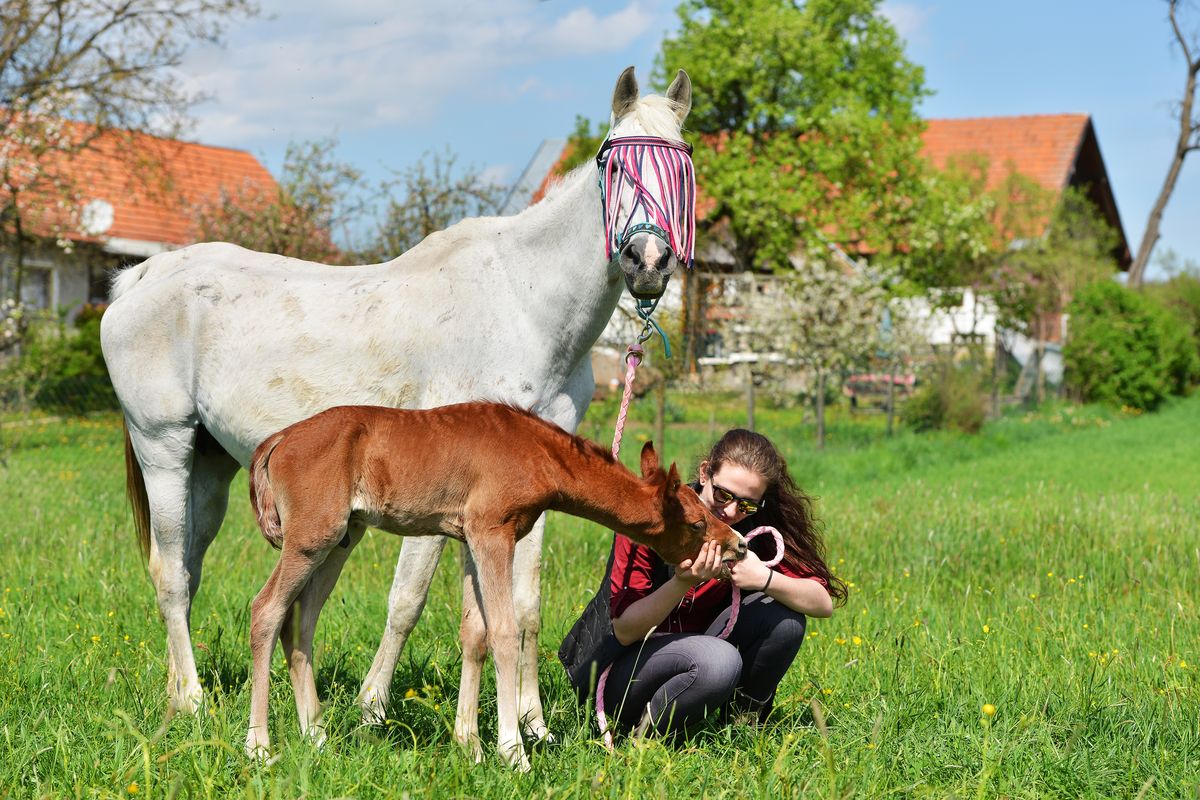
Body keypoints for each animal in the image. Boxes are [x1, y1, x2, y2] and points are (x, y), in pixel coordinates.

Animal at [99, 65, 695, 744]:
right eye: (615, 164)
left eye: (685, 161)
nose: (648, 262)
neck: (521, 304)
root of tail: (139, 279)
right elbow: (407, 600)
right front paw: (374, 708)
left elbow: (524, 606)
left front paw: (533, 726)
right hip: (164, 447)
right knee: (171, 574)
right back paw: (196, 701)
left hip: (211, 465)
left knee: (190, 568)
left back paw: (182, 694)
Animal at [244, 402, 746, 769]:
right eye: (698, 522)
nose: (738, 545)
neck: (536, 452)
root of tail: (278, 440)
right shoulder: (492, 532)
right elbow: (505, 632)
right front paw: (513, 751)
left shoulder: (468, 536)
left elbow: (475, 633)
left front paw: (469, 744)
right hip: (312, 536)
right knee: (266, 611)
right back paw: (260, 747)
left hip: (342, 536)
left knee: (300, 623)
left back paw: (316, 736)